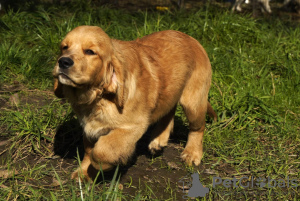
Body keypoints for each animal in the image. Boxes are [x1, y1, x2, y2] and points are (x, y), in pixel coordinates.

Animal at [52, 25, 217, 181]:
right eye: (64, 47)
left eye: (90, 52)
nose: (63, 61)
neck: (98, 97)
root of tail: (192, 39)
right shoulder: (90, 128)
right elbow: (88, 151)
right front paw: (84, 173)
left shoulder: (132, 126)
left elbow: (101, 151)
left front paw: (102, 167)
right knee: (168, 111)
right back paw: (159, 139)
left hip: (193, 103)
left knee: (197, 127)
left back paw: (192, 153)